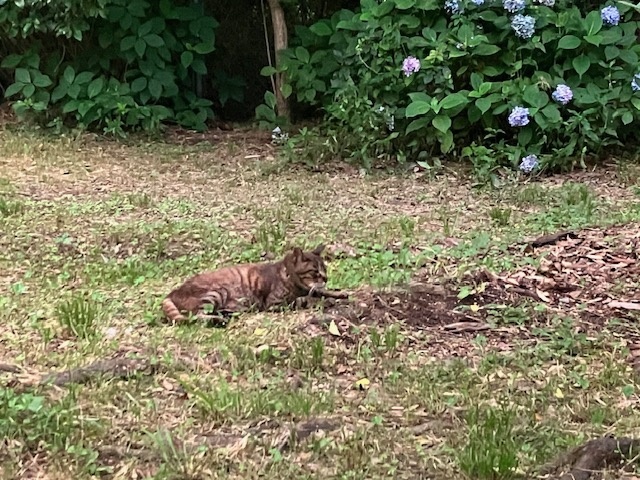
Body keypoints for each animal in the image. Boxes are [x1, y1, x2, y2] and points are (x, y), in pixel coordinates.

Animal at [161, 244, 348, 324]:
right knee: (196, 316)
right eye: (315, 271)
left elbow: (321, 292)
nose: (326, 278)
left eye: (325, 269)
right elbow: (307, 299)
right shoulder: (275, 303)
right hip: (216, 292)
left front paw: (338, 293)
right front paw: (326, 300)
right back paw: (219, 320)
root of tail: (170, 294)